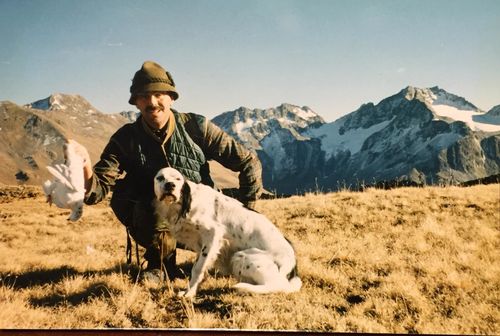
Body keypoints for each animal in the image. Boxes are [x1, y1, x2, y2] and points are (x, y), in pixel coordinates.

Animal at [153, 167, 300, 296]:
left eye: (178, 179)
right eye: (160, 178)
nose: (170, 185)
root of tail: (293, 267)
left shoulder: (212, 235)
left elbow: (198, 268)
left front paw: (189, 294)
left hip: (241, 256)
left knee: (278, 285)